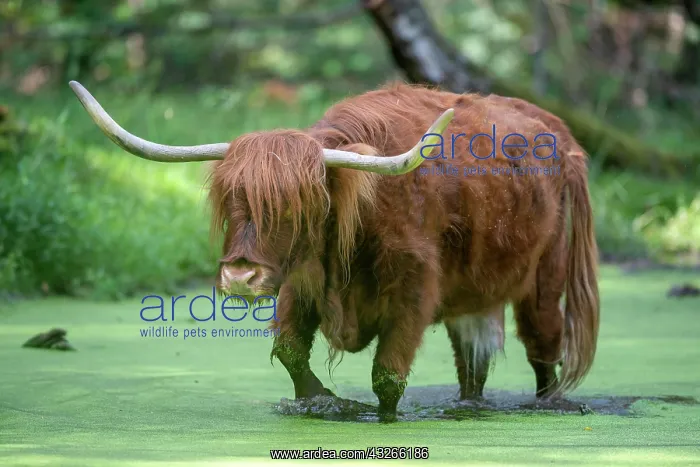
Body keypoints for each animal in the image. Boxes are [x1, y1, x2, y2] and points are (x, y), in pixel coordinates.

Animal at [69, 80, 600, 422]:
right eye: (230, 200)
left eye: (296, 205)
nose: (240, 278)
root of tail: (562, 135)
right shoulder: (297, 280)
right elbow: (289, 350)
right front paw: (321, 400)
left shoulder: (413, 293)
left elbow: (387, 377)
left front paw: (379, 418)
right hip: (474, 296)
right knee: (473, 361)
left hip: (544, 279)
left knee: (543, 348)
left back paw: (549, 402)